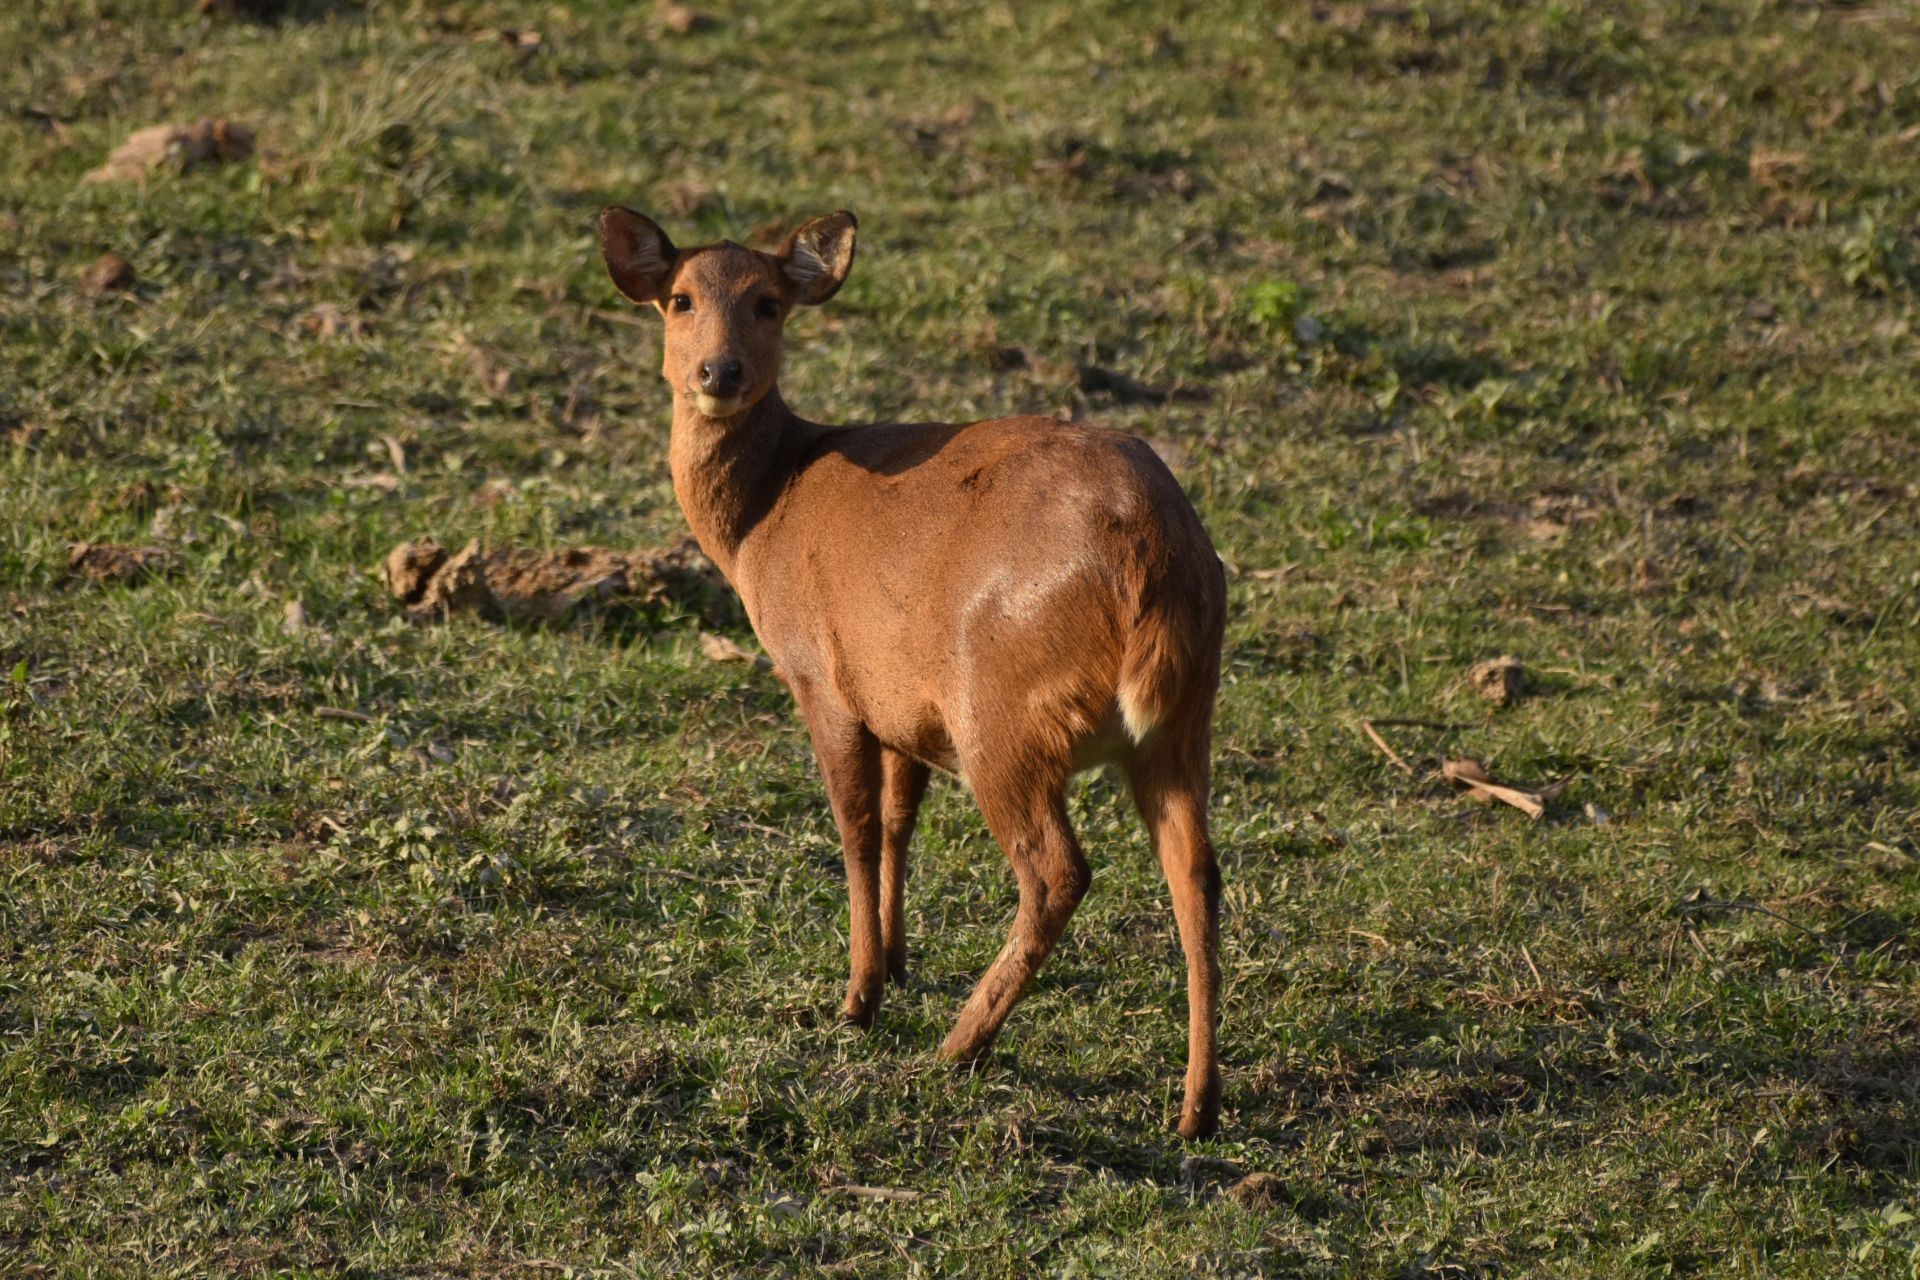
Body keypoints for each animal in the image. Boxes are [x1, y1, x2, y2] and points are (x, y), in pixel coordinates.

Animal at [599, 205, 1228, 1136]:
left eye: (768, 302)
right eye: (680, 299)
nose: (719, 371)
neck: (761, 520)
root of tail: (1152, 554)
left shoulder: (820, 673)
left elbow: (854, 829)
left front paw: (858, 997)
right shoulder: (896, 697)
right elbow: (900, 821)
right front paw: (896, 962)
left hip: (1001, 710)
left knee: (1058, 871)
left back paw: (959, 1046)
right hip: (1184, 719)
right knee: (1198, 875)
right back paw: (1196, 1107)